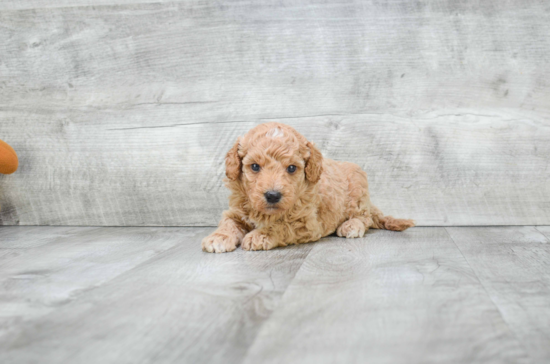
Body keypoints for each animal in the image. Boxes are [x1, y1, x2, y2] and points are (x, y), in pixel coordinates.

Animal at [202, 122, 414, 253]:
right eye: (254, 167)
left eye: (291, 168)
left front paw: (260, 236)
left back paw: (351, 226)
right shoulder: (236, 212)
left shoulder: (306, 224)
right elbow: (229, 223)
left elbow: (280, 226)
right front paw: (218, 237)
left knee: (365, 218)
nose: (272, 195)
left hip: (357, 191)